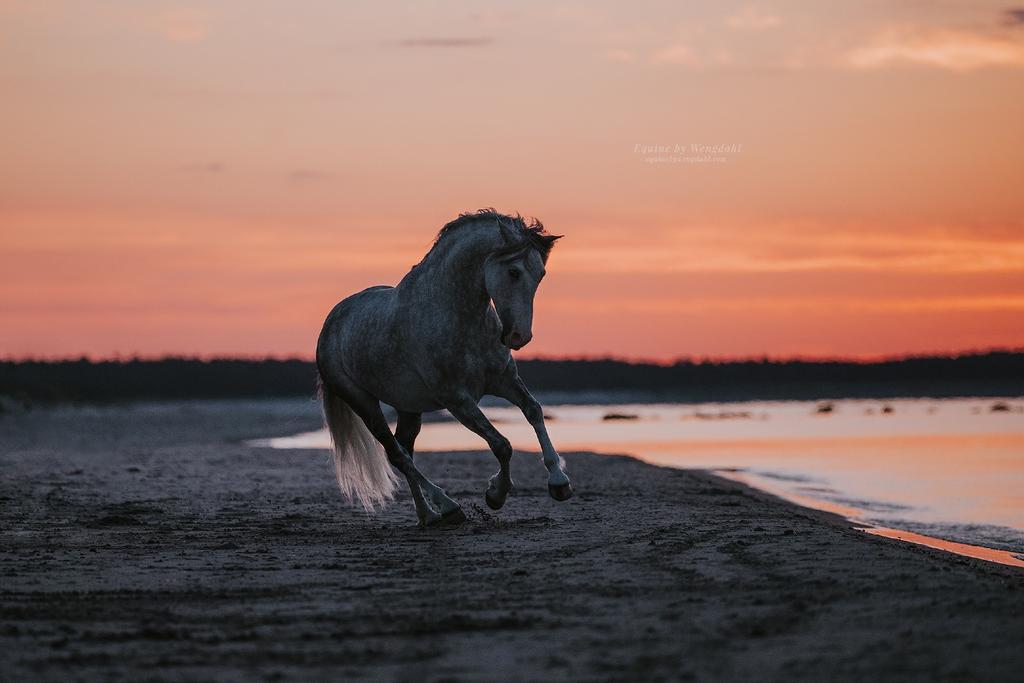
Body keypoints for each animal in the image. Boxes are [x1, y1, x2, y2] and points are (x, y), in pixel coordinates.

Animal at [315, 210, 573, 528]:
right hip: (364, 404)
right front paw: (495, 494)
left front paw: (559, 483)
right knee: (396, 454)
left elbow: (534, 411)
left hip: (409, 408)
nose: (518, 337)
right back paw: (448, 507)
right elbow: (502, 444)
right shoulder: (458, 400)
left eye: (541, 274)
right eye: (513, 272)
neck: (458, 316)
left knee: (404, 450)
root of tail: (331, 324)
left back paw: (428, 515)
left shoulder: (505, 382)